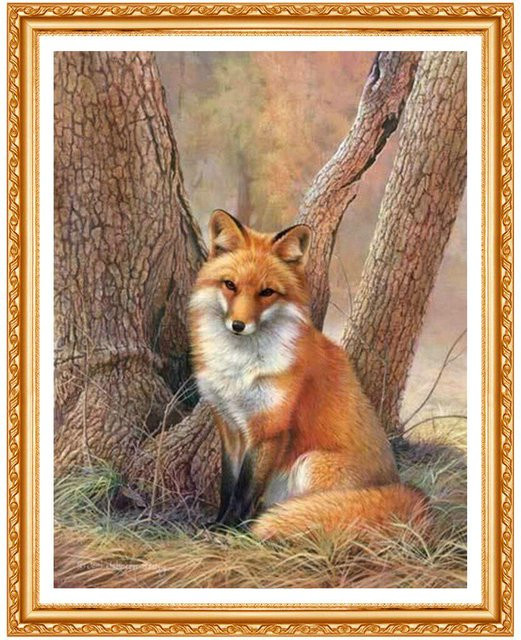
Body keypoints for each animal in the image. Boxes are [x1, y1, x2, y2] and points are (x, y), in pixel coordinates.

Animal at [189, 209, 428, 540]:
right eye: (230, 285)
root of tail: (397, 485)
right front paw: (218, 522)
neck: (239, 368)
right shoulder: (229, 426)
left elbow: (245, 490)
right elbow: (228, 486)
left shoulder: (269, 428)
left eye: (267, 292)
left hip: (309, 464)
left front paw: (230, 530)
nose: (238, 325)